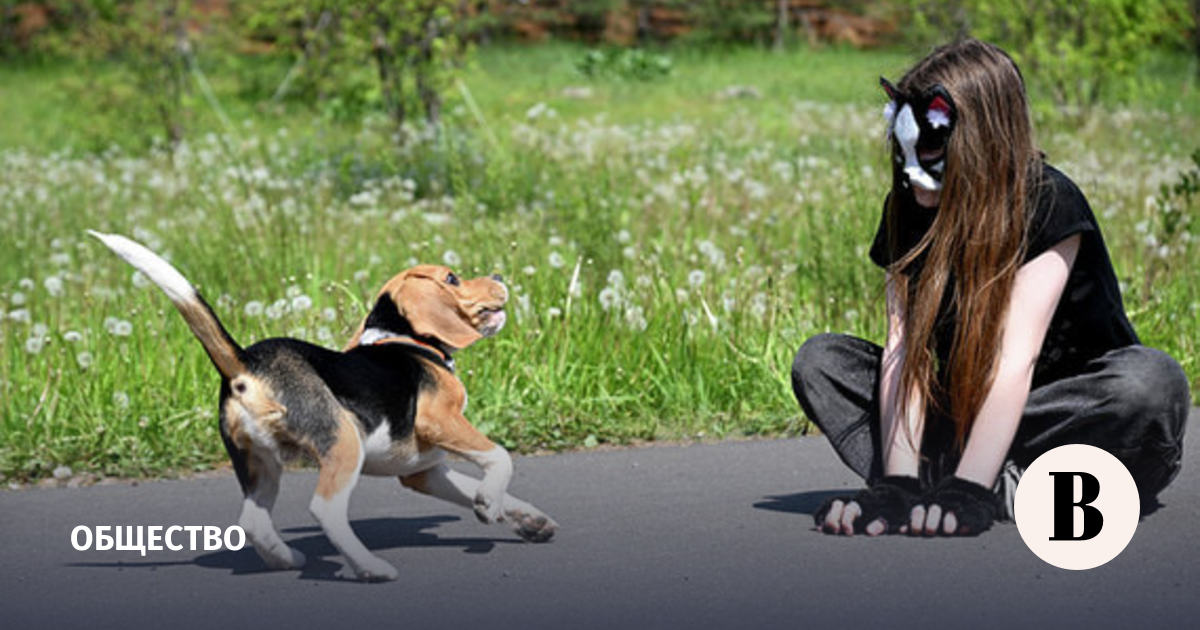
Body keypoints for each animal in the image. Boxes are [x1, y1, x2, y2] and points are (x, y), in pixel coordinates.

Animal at [91, 230, 559, 580]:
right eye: (453, 279)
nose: (499, 274)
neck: (403, 339)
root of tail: (246, 363)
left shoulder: (423, 471)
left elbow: (487, 487)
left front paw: (529, 520)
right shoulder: (440, 421)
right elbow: (500, 458)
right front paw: (489, 504)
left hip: (259, 462)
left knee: (253, 522)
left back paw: (286, 560)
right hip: (344, 441)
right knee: (326, 510)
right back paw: (371, 568)